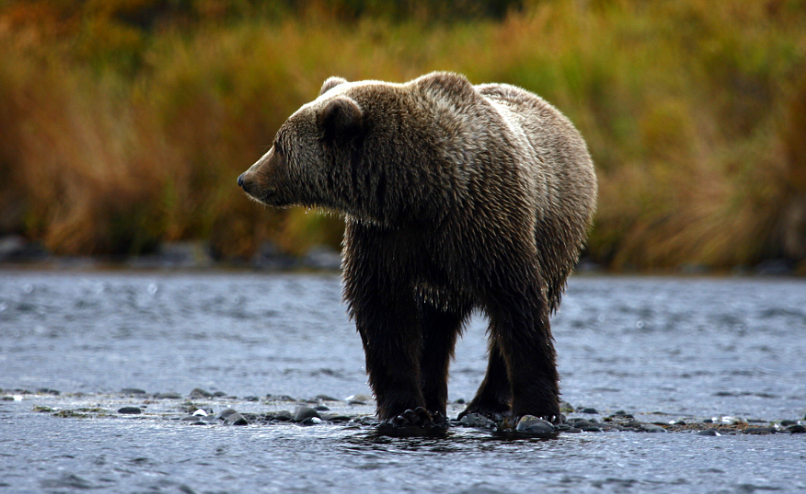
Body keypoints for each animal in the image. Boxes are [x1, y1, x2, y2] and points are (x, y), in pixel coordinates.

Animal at [237, 70, 596, 432]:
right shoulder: (385, 236)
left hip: (556, 236)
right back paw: (434, 402)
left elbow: (517, 309)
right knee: (435, 333)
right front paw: (405, 410)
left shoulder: (486, 220)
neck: (419, 192)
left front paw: (538, 409)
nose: (245, 178)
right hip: (442, 285)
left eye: (278, 146)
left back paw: (485, 405)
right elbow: (383, 313)